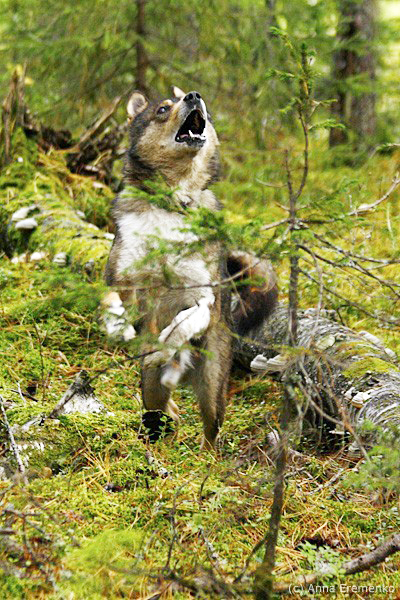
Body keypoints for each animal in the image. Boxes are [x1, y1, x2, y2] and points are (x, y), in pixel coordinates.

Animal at [105, 87, 277, 449]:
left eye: (203, 110)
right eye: (162, 109)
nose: (194, 96)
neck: (172, 203)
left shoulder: (203, 296)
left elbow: (185, 321)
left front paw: (170, 338)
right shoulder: (124, 283)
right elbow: (123, 309)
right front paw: (133, 334)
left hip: (212, 387)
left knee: (211, 430)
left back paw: (203, 458)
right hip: (151, 389)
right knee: (163, 405)